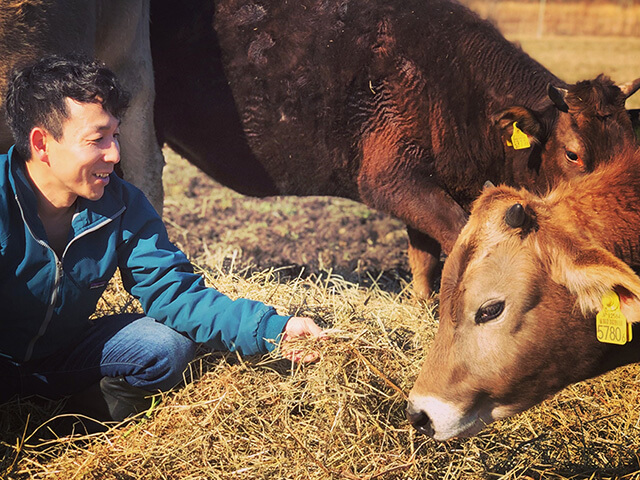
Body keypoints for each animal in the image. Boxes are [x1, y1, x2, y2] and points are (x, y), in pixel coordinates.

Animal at [151, 0, 640, 296]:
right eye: (573, 154)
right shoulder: (390, 180)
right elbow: (456, 234)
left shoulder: (426, 184)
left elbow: (424, 258)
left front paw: (421, 305)